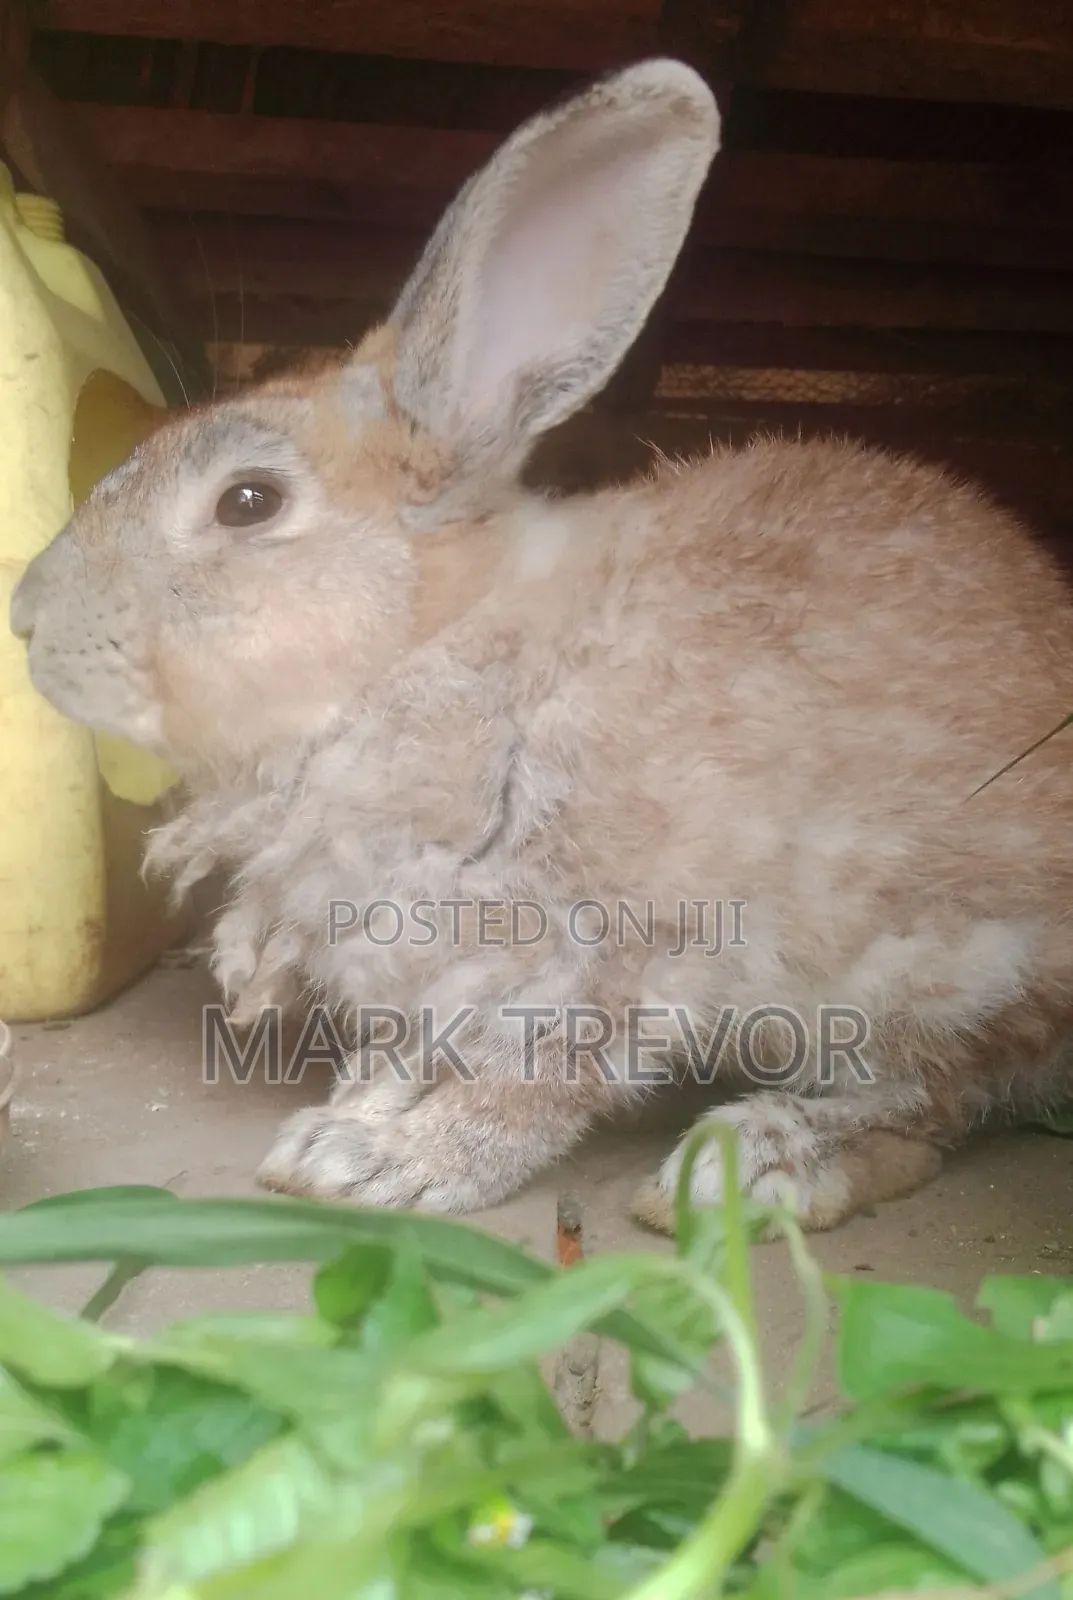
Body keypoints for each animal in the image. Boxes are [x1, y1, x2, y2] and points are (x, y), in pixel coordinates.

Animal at [11, 58, 1073, 1234]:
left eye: (248, 502)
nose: (28, 616)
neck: (433, 653)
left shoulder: (616, 952)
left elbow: (537, 1081)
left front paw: (393, 1165)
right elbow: (407, 1055)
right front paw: (339, 1127)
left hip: (946, 966)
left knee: (939, 1097)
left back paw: (761, 1163)